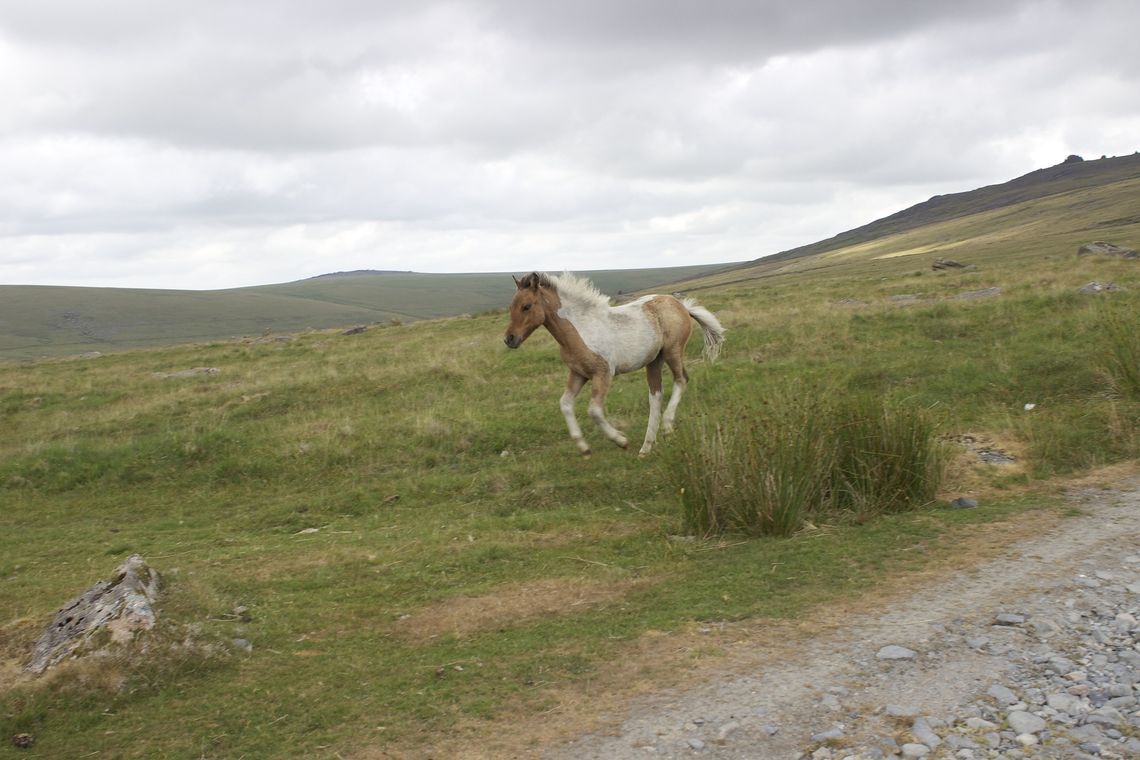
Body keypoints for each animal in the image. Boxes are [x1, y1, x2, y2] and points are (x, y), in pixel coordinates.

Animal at [506, 273, 725, 458]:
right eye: (511, 307)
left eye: (526, 306)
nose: (509, 339)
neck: (581, 329)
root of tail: (681, 305)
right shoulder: (578, 373)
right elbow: (565, 404)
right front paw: (584, 448)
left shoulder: (603, 373)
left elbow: (594, 411)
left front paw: (621, 440)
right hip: (654, 360)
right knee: (656, 394)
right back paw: (646, 447)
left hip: (673, 351)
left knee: (681, 380)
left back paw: (667, 427)